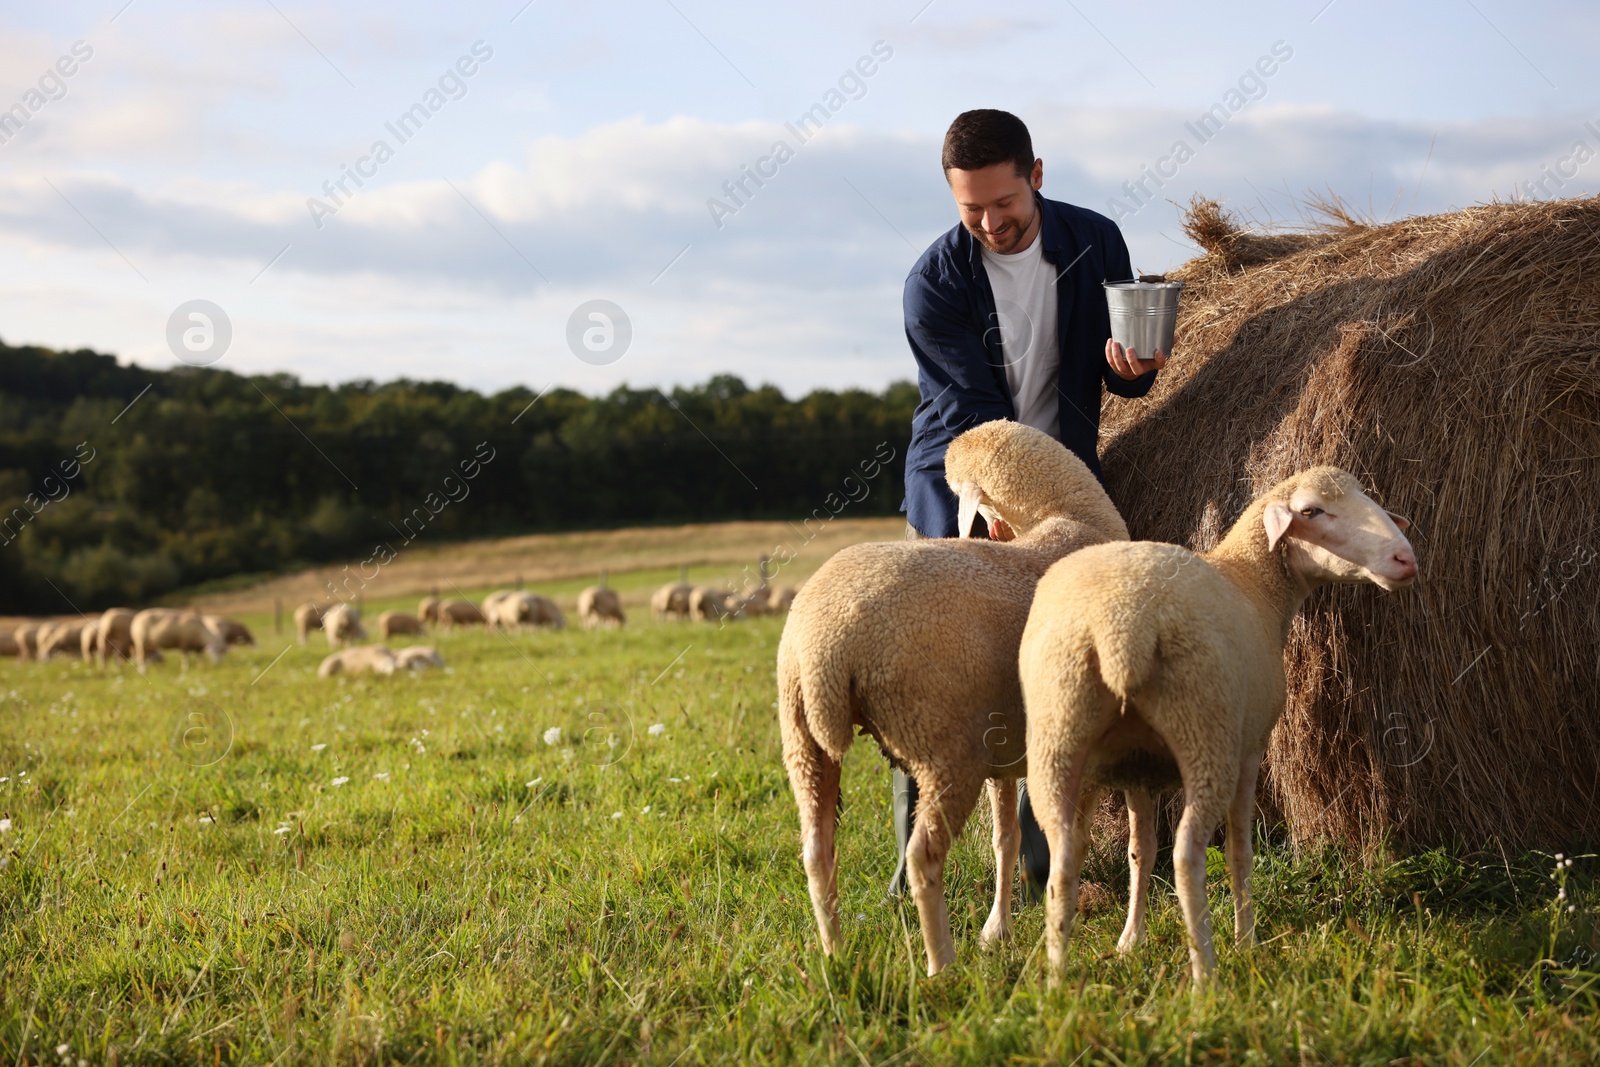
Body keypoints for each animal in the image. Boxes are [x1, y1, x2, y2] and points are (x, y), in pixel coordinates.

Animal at [771, 415, 1126, 979]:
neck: (1066, 515)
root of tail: (822, 647)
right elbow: (1073, 834)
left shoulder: (1003, 754)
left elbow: (1007, 840)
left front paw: (998, 929)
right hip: (943, 746)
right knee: (922, 857)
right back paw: (942, 964)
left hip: (803, 737)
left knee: (816, 851)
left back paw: (835, 954)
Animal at [1017, 470, 1420, 991]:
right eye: (1311, 511)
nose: (1405, 559)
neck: (1253, 583)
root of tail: (1120, 629)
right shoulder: (1249, 750)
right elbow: (1238, 851)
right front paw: (1246, 939)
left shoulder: (1135, 769)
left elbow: (1140, 851)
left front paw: (1130, 941)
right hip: (1204, 735)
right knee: (1188, 857)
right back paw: (1205, 973)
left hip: (1058, 739)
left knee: (1063, 860)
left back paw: (1056, 981)